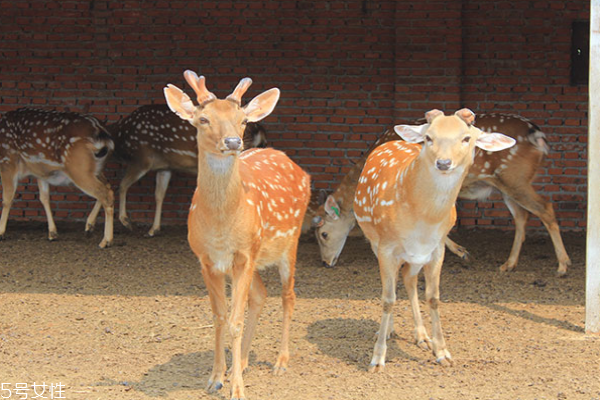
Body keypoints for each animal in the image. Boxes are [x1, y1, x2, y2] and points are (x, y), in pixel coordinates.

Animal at [0, 108, 115, 248]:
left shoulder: (7, 162)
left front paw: (1, 232)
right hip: (95, 169)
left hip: (79, 169)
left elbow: (7, 199)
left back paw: (106, 240)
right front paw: (52, 233)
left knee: (106, 193)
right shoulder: (40, 172)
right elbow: (44, 198)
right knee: (108, 187)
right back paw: (89, 227)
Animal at [107, 103, 268, 238]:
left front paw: (126, 221)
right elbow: (159, 195)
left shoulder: (142, 158)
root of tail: (259, 131)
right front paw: (153, 229)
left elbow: (122, 185)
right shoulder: (165, 167)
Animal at [164, 72, 312, 400]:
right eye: (203, 119)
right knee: (260, 295)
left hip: (289, 241)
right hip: (254, 255)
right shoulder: (207, 259)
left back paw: (281, 361)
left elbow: (235, 321)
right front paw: (215, 378)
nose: (233, 141)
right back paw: (241, 362)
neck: (220, 228)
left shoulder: (243, 254)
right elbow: (220, 318)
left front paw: (237, 389)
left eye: (243, 120)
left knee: (288, 295)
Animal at [310, 111, 572, 276]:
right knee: (522, 216)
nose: (325, 262)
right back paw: (509, 264)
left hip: (515, 177)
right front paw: (462, 252)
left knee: (545, 208)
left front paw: (462, 252)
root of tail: (537, 135)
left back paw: (563, 265)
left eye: (323, 234)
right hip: (506, 183)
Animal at [356, 108, 516, 372]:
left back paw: (421, 336)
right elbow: (388, 298)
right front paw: (377, 359)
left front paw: (442, 351)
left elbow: (434, 297)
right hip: (373, 240)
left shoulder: (437, 249)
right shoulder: (386, 246)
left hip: (415, 256)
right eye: (429, 137)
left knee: (409, 279)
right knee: (393, 284)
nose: (443, 163)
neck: (423, 221)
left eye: (466, 138)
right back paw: (389, 331)